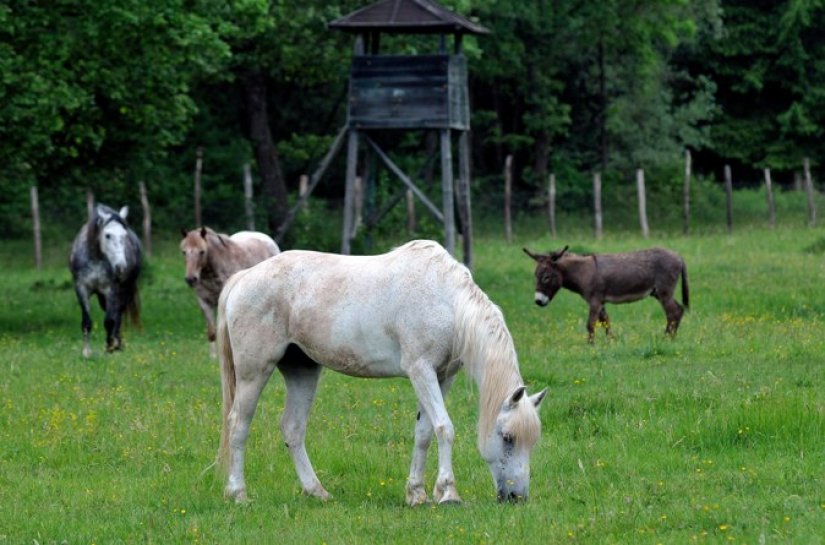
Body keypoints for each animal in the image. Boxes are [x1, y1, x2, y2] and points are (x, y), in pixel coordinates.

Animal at [71, 204, 143, 356]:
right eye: (107, 235)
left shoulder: (111, 290)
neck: (96, 258)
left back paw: (117, 344)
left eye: (124, 235)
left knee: (118, 314)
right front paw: (86, 352)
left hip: (124, 290)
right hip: (102, 296)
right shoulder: (81, 288)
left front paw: (110, 347)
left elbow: (110, 320)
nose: (121, 267)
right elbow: (86, 322)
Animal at [217, 240, 548, 504]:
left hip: (303, 372)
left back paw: (317, 492)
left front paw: (417, 494)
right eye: (507, 437)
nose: (517, 497)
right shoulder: (420, 370)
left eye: (533, 441)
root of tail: (243, 277)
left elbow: (424, 433)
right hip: (253, 372)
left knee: (293, 428)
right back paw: (238, 494)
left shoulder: (442, 377)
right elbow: (444, 428)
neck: (447, 301)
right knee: (238, 425)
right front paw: (448, 493)